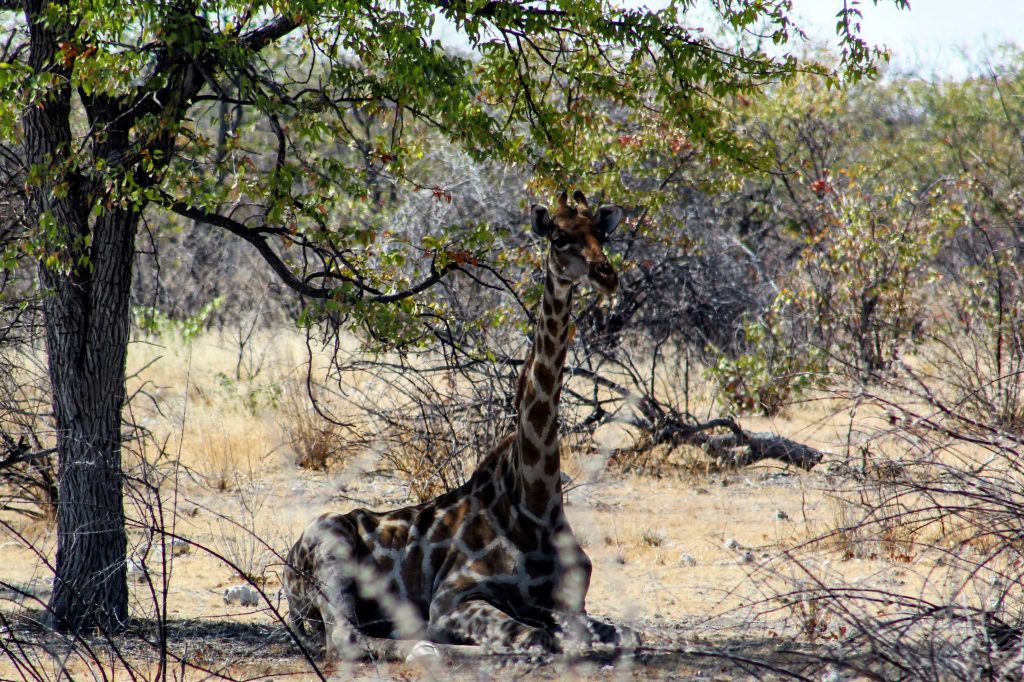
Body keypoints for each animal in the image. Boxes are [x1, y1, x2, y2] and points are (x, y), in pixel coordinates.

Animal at [284, 188, 626, 655]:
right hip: (331, 556)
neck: (536, 504)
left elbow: (621, 633)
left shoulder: (568, 601)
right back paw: (425, 646)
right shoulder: (452, 598)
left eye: (601, 235)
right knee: (347, 639)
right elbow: (534, 637)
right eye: (559, 238)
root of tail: (287, 566)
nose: (607, 276)